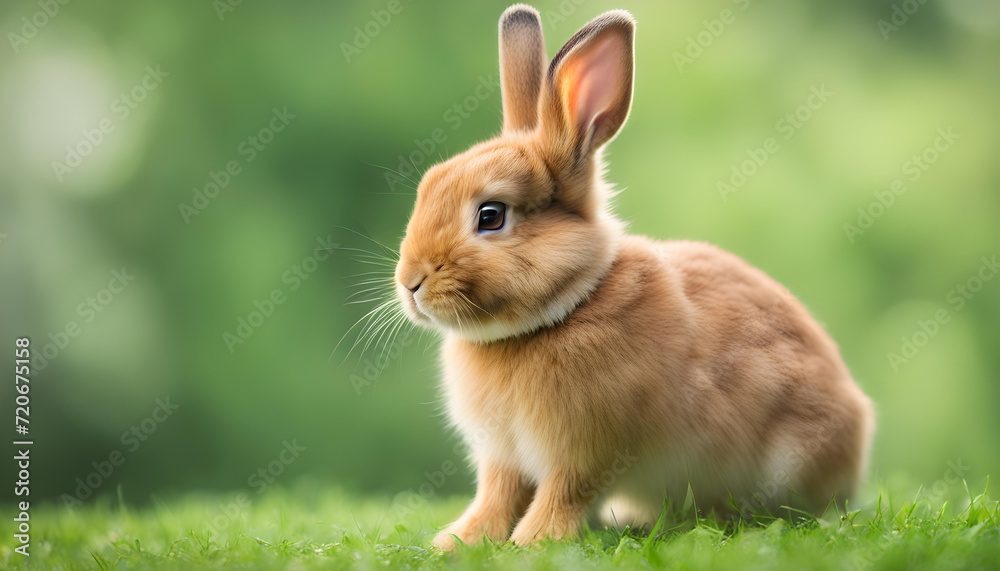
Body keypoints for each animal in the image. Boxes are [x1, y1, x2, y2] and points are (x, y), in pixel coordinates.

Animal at [392, 4, 875, 549]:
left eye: (491, 216)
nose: (410, 282)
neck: (563, 310)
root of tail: (857, 434)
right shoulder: (503, 456)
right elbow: (496, 496)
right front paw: (460, 541)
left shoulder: (584, 452)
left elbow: (562, 494)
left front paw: (534, 542)